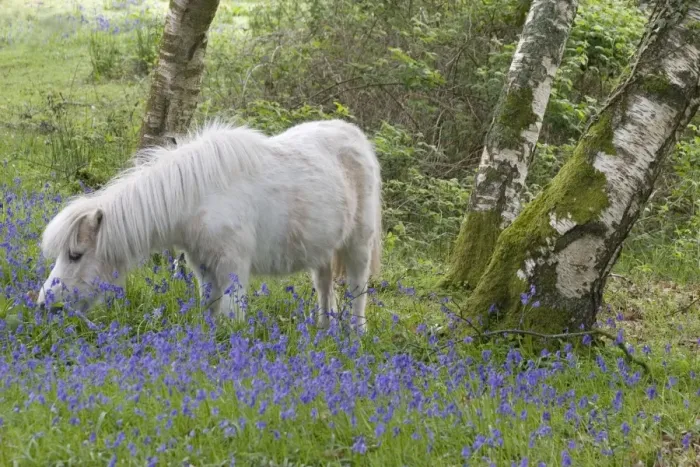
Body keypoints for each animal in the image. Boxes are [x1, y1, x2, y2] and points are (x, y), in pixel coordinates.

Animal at [36, 119, 383, 331]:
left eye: (75, 255)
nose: (44, 305)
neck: (198, 196)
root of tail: (355, 137)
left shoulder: (232, 268)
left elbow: (231, 315)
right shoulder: (204, 269)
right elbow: (210, 311)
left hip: (358, 245)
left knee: (357, 290)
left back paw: (355, 334)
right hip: (323, 250)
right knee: (325, 287)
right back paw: (324, 329)